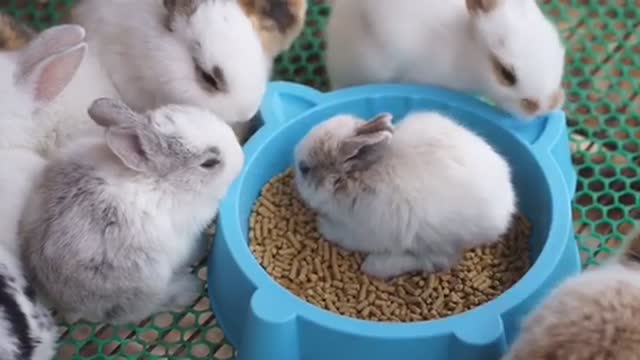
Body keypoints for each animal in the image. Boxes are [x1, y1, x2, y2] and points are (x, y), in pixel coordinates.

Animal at [20, 97, 245, 324]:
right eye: (209, 163)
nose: (241, 158)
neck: (163, 182)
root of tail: (64, 303)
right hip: (147, 277)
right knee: (134, 311)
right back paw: (186, 290)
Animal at [292, 112, 516, 278]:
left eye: (304, 169)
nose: (295, 179)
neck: (355, 180)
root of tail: (505, 213)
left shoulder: (359, 233)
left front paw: (322, 224)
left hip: (434, 240)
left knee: (437, 261)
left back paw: (375, 266)